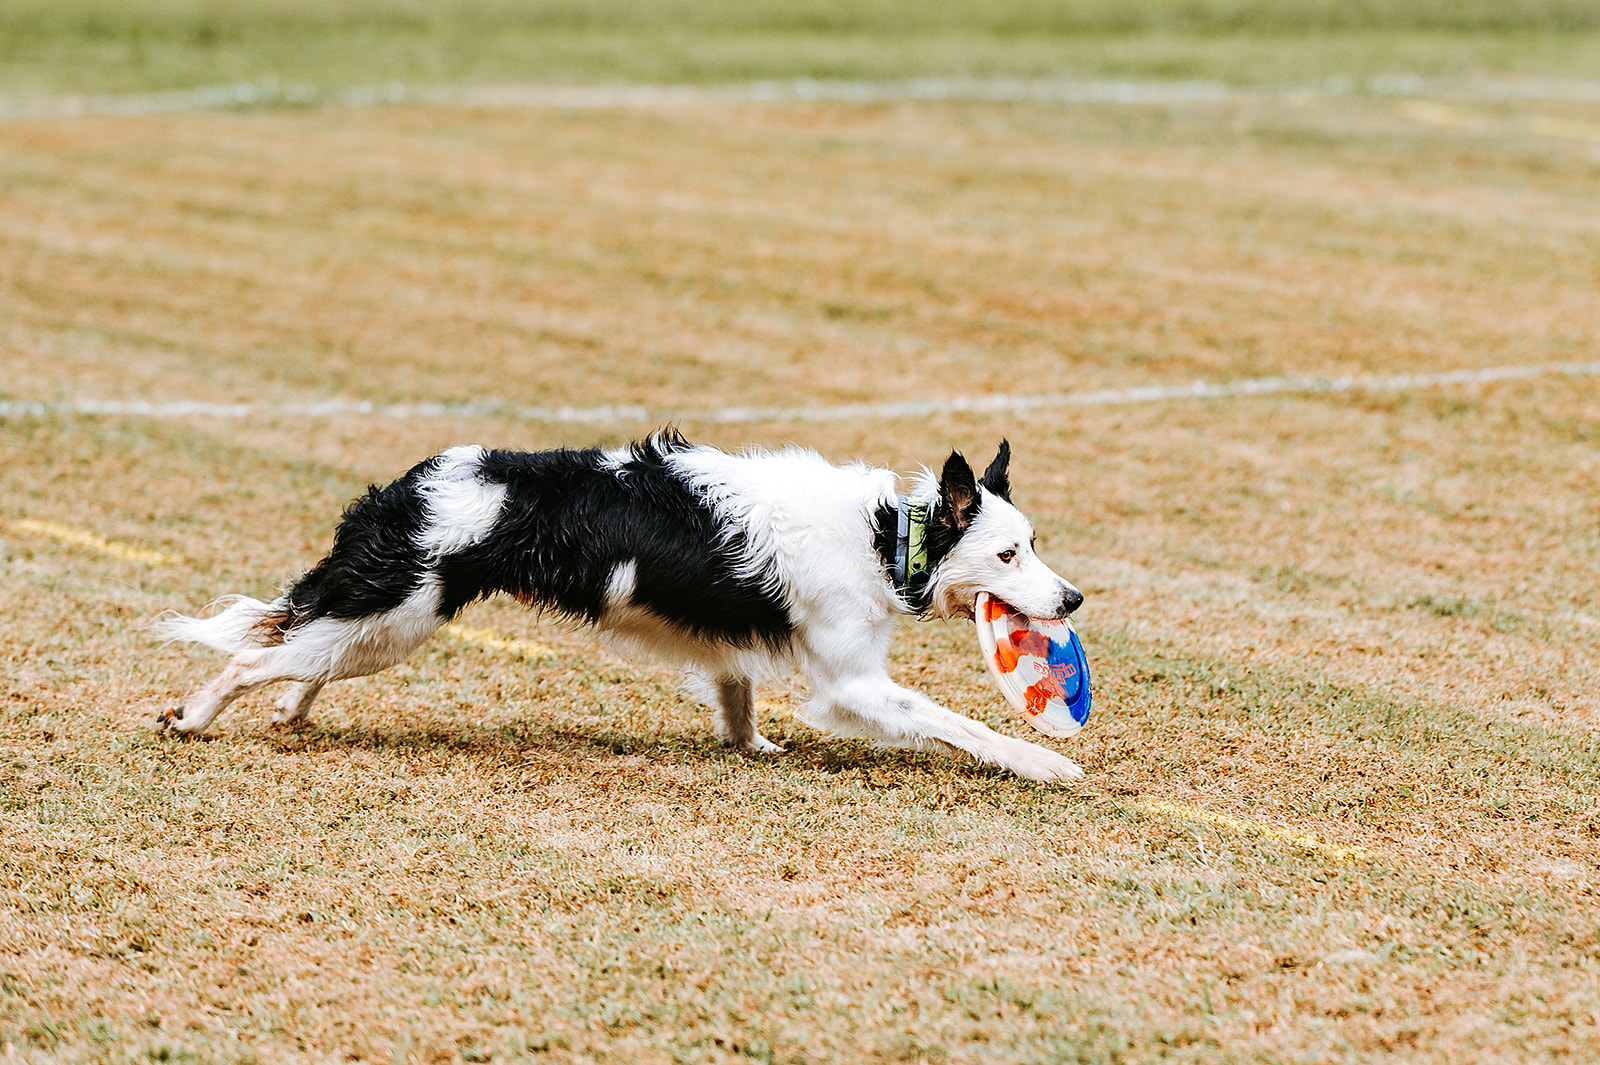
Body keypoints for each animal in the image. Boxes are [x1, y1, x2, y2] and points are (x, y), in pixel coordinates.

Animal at [159, 431, 1088, 780]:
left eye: (1034, 541)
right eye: (1009, 554)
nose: (1074, 598)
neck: (889, 533)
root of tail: (408, 486)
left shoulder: (734, 646)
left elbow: (737, 692)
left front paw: (750, 745)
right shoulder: (853, 683)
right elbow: (956, 722)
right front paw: (1042, 762)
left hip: (389, 623)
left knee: (303, 654)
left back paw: (291, 710)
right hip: (399, 615)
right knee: (255, 655)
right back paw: (195, 716)